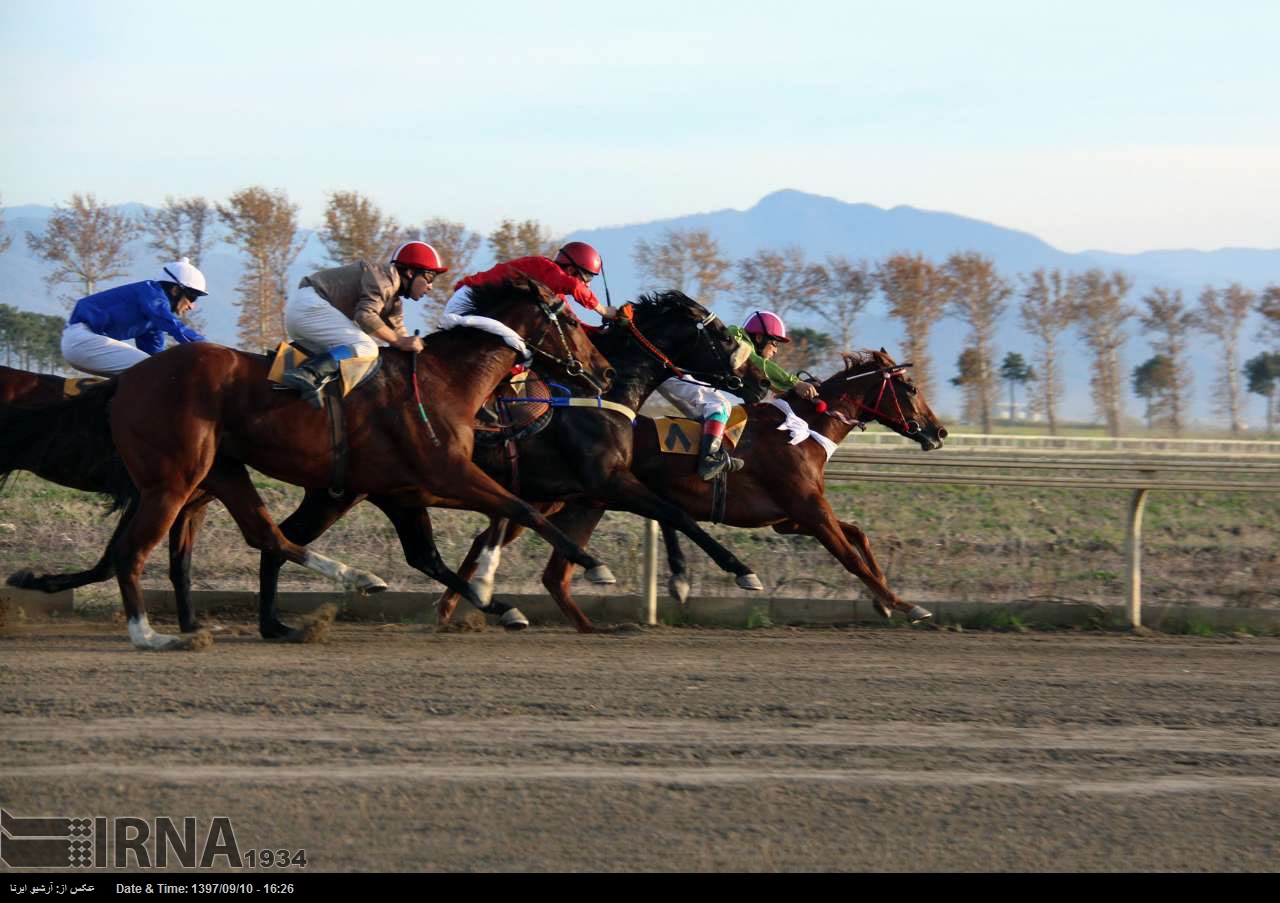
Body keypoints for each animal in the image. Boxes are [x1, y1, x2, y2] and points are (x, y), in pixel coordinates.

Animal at [0, 276, 614, 648]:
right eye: (572, 322)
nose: (604, 373)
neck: (445, 381)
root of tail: (127, 379)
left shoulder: (406, 490)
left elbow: (450, 544)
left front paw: (497, 602)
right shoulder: (443, 473)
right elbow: (518, 510)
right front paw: (591, 566)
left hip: (219, 470)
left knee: (265, 536)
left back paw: (333, 592)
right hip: (172, 481)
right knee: (134, 552)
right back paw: (154, 636)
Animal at [440, 345, 952, 627]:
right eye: (908, 388)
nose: (940, 430)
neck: (802, 431)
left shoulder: (790, 518)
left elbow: (859, 536)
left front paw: (884, 603)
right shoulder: (808, 511)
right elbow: (849, 555)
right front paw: (906, 605)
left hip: (583, 503)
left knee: (533, 560)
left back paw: (461, 606)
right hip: (553, 499)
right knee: (494, 534)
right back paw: (461, 604)